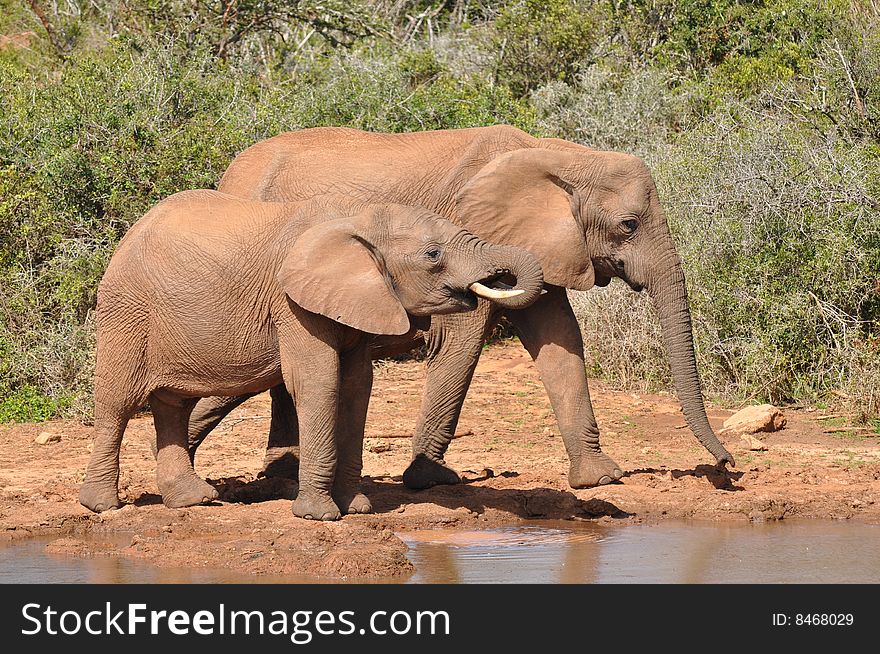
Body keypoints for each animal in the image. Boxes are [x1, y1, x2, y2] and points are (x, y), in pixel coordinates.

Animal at [79, 191, 544, 524]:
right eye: (433, 255)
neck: (358, 217)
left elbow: (357, 387)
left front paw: (357, 507)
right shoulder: (292, 303)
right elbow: (318, 382)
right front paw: (319, 516)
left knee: (172, 404)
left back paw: (192, 501)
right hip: (126, 309)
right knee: (117, 402)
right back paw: (102, 506)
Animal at [180, 124, 736, 492]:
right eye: (628, 225)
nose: (727, 467)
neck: (563, 155)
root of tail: (230, 170)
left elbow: (559, 338)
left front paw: (600, 479)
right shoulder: (471, 236)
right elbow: (462, 342)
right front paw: (429, 479)